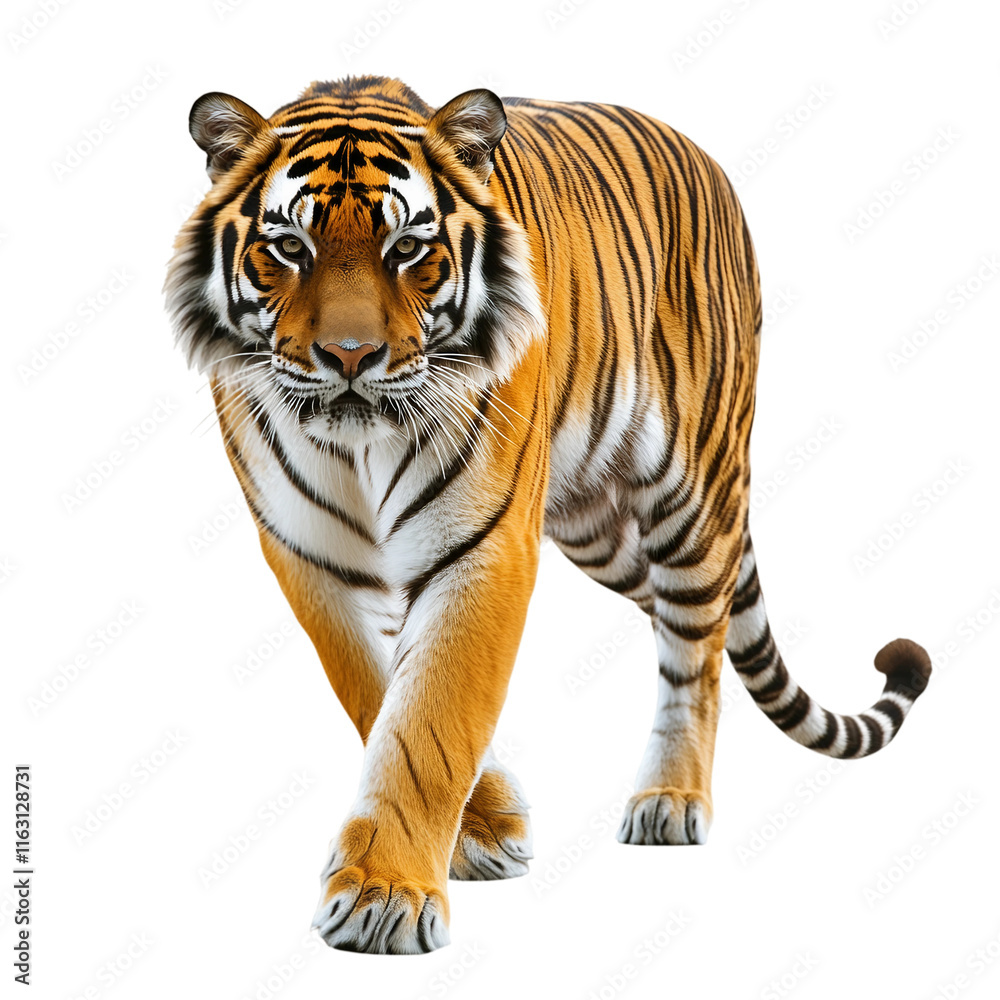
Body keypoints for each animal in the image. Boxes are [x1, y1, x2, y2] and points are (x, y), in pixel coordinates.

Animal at [164, 75, 931, 955]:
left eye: (409, 250)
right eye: (290, 247)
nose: (351, 357)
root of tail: (705, 157)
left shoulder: (483, 547)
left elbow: (431, 718)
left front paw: (385, 897)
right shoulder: (309, 555)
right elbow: (380, 692)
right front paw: (483, 830)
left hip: (691, 492)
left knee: (696, 652)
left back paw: (672, 800)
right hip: (601, 532)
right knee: (697, 617)